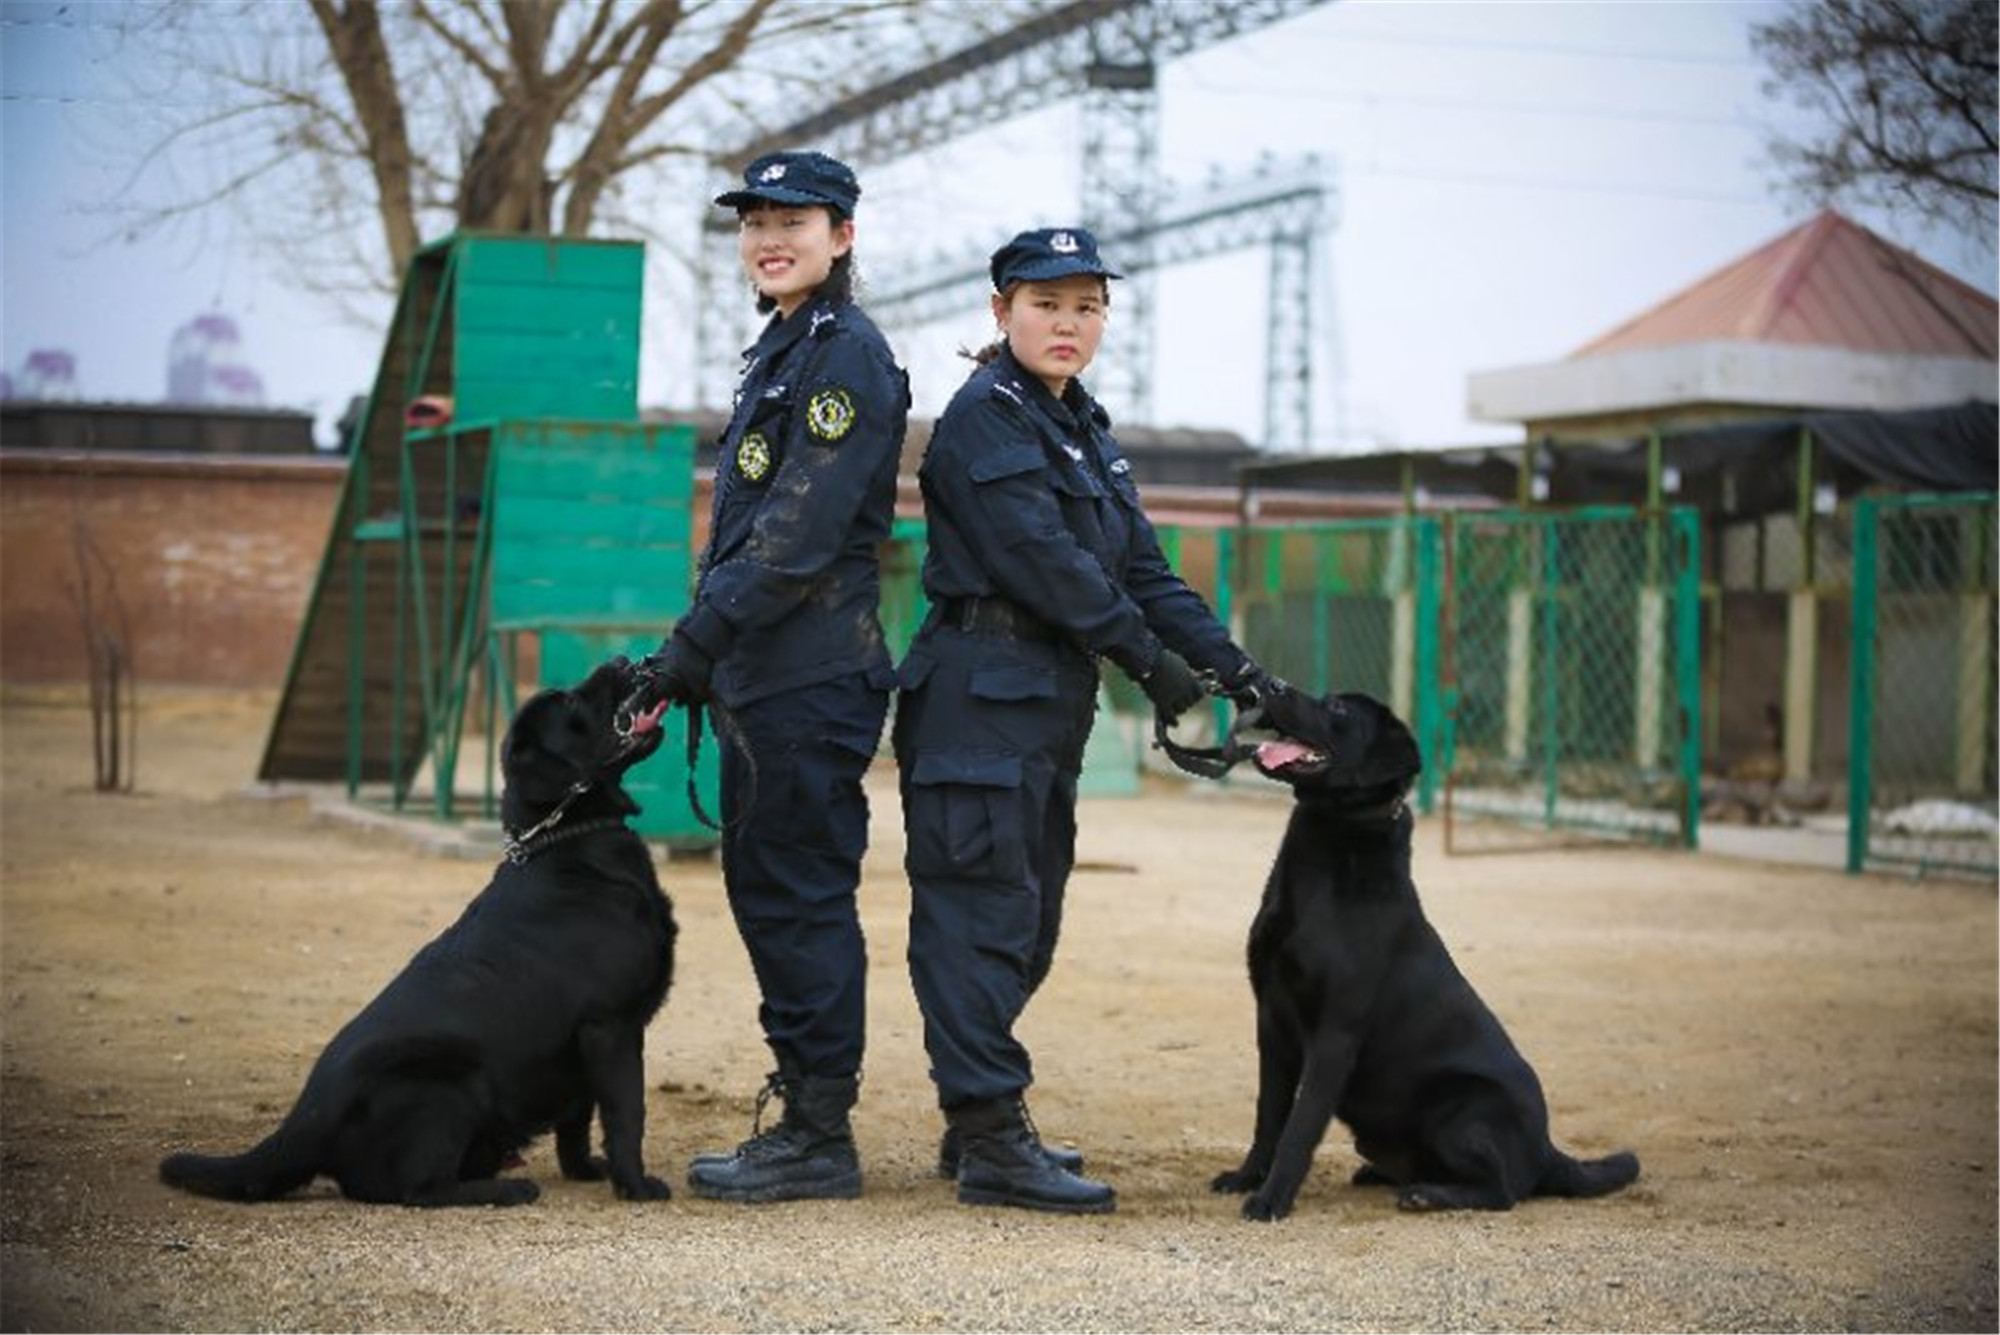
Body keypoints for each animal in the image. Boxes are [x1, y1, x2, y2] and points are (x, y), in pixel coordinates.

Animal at [154, 659, 680, 1207]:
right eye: (573, 704)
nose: (624, 661)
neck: (568, 845)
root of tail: (305, 1120)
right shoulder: (610, 1025)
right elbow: (626, 1114)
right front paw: (636, 1185)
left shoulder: (583, 1044)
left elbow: (577, 1121)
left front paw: (587, 1171)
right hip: (450, 1085)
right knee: (415, 1188)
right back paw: (507, 1187)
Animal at [1208, 687, 1632, 1223]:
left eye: (1339, 710)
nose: (1273, 686)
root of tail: (1547, 1149)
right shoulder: (1271, 1018)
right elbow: (1268, 1117)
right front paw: (1246, 1178)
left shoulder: (1335, 1034)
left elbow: (1299, 1128)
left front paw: (1270, 1200)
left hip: (1461, 1111)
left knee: (1503, 1192)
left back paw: (1428, 1194)